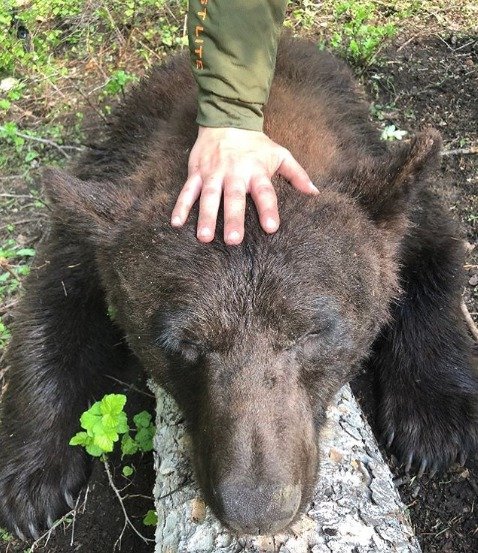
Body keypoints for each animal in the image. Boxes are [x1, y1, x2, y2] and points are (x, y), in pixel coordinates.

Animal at [0, 38, 478, 540]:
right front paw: (31, 481)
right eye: (183, 343)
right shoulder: (103, 201)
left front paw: (435, 422)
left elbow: (436, 256)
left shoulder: (393, 193)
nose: (256, 507)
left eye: (312, 332)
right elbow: (54, 297)